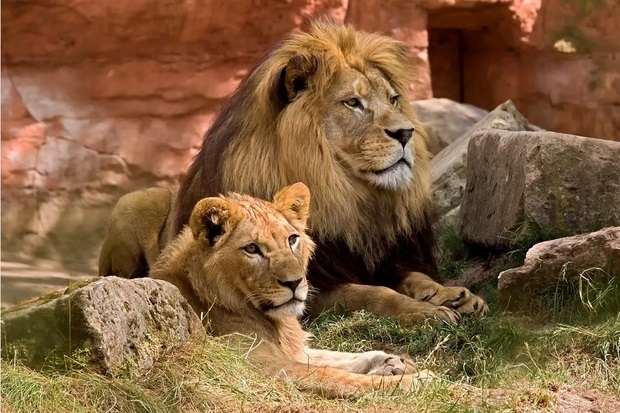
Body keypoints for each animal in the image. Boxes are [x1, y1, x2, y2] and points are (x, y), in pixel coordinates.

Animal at [151, 183, 432, 396]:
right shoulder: (253, 366)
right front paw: (414, 381)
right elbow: (331, 375)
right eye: (252, 249)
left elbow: (334, 357)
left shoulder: (292, 349)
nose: (295, 282)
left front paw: (391, 361)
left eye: (292, 239)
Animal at [172, 18, 486, 322]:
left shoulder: (385, 259)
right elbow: (374, 293)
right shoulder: (309, 289)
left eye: (393, 99)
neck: (345, 197)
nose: (407, 133)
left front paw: (452, 294)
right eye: (353, 103)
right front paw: (424, 310)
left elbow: (417, 277)